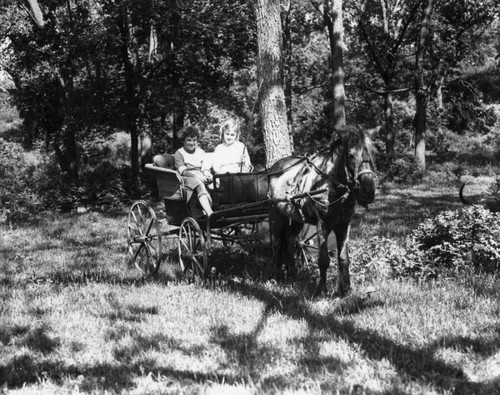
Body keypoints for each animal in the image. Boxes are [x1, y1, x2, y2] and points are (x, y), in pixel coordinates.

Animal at [268, 125, 376, 298]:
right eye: (350, 155)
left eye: (373, 153)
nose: (368, 191)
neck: (332, 186)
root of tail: (274, 169)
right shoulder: (322, 225)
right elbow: (324, 260)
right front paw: (321, 289)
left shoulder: (344, 225)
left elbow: (343, 258)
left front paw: (346, 290)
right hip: (277, 216)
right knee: (277, 243)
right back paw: (275, 276)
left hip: (297, 219)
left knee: (290, 240)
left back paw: (292, 275)